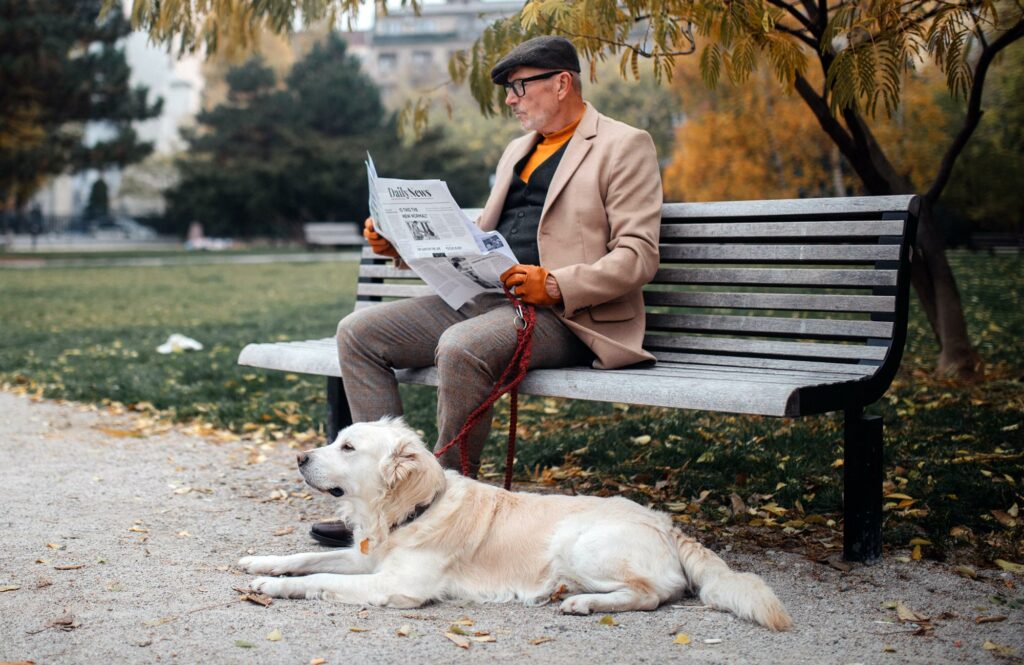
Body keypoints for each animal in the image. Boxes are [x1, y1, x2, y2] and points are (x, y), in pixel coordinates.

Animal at [237, 418, 790, 631]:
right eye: (337, 439)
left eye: (348, 447)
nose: (300, 458)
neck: (414, 509)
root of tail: (664, 522)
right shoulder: (367, 556)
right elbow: (308, 555)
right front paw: (261, 562)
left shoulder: (398, 586)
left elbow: (318, 577)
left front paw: (272, 586)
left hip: (579, 542)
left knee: (654, 593)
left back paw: (582, 602)